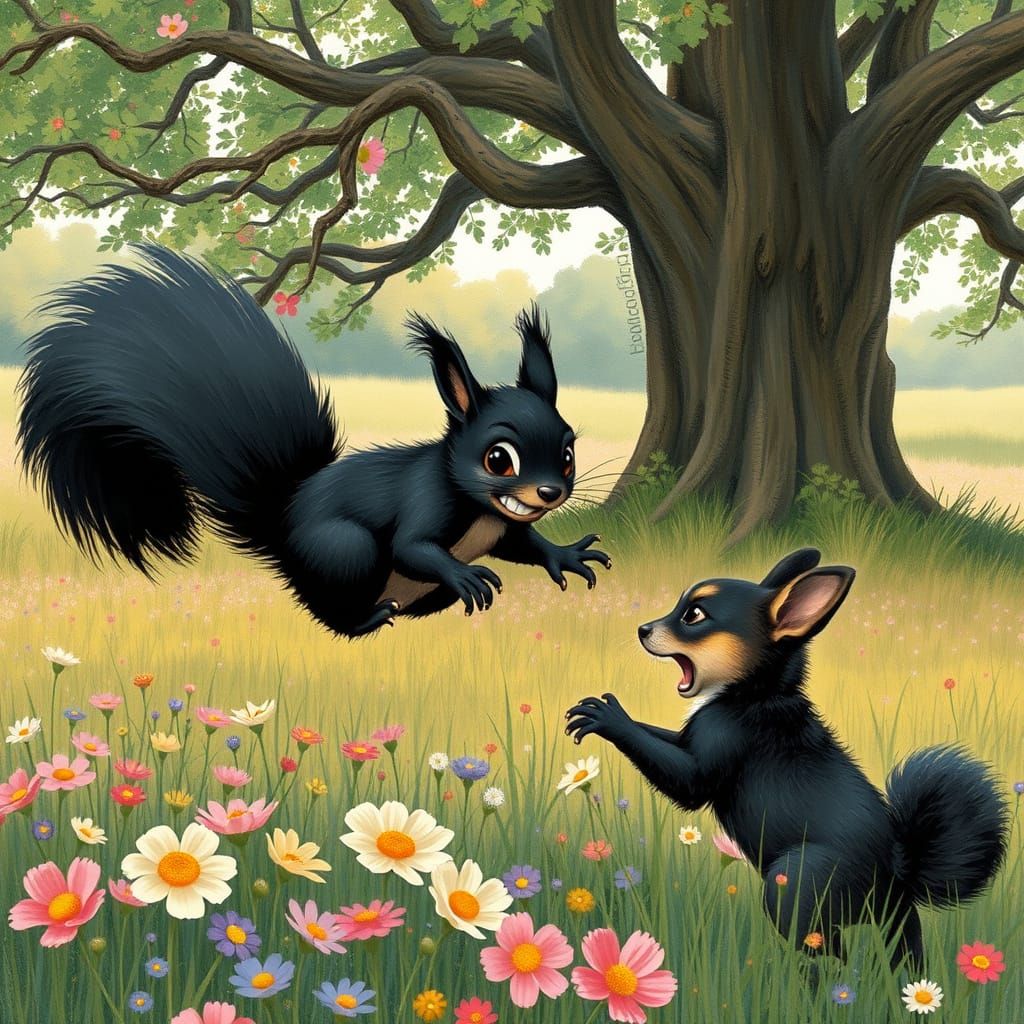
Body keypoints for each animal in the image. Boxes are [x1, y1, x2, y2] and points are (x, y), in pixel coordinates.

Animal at [18, 245, 611, 638]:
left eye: (567, 452)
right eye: (498, 458)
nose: (551, 492)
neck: (482, 509)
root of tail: (284, 522)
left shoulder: (505, 527)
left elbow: (525, 543)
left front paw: (566, 555)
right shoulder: (426, 501)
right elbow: (414, 547)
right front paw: (465, 573)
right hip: (344, 550)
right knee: (335, 613)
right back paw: (371, 618)